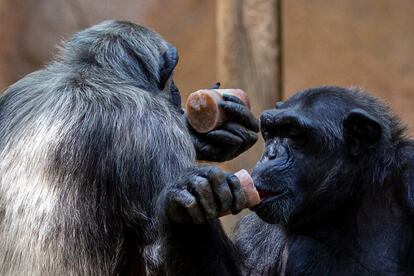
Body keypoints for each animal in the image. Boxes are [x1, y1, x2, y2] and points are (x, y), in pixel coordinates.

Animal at [160, 87, 414, 276]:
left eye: (293, 134)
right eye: (270, 133)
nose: (270, 154)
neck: (346, 202)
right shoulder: (261, 230)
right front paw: (196, 191)